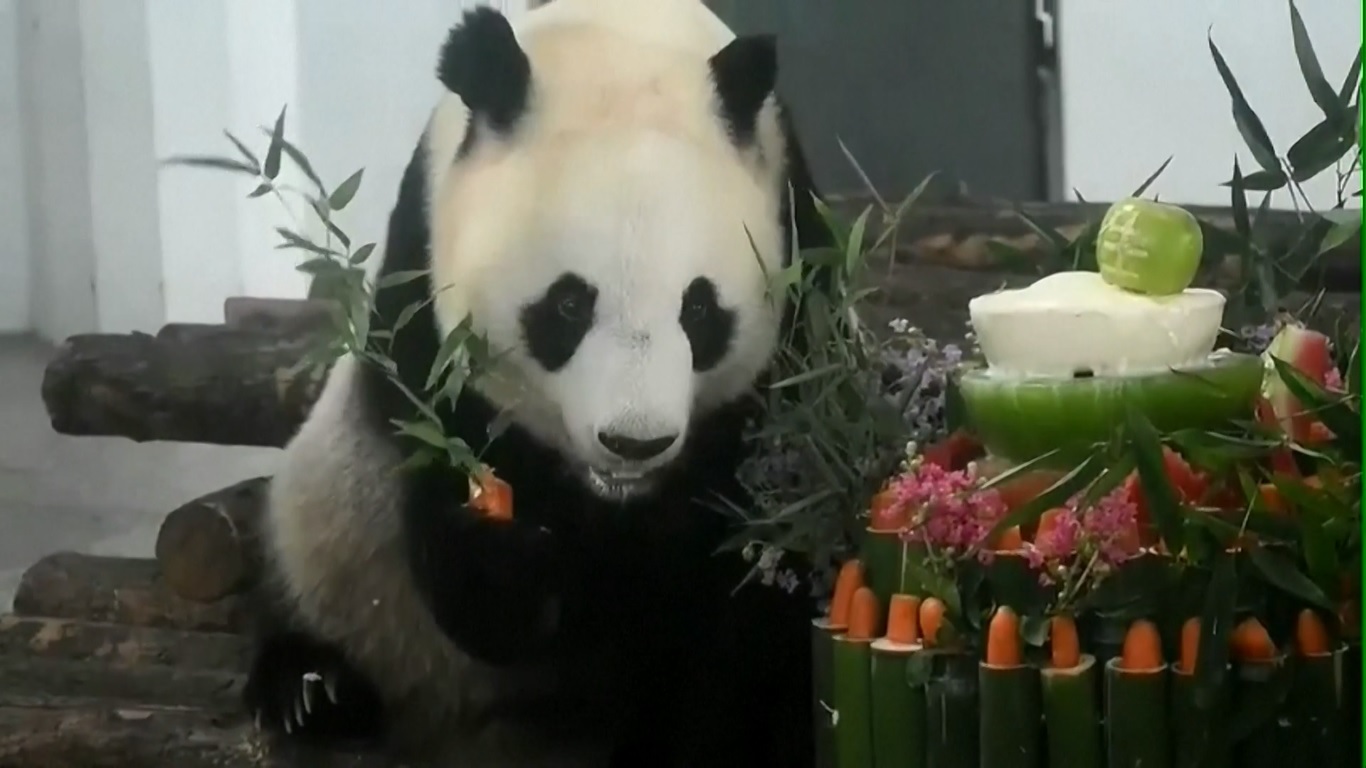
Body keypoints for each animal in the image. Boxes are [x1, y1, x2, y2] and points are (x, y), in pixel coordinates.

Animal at [243, 0, 835, 765]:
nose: (634, 442)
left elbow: (745, 570)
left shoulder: (800, 257)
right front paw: (511, 558)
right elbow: (446, 464)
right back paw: (311, 687)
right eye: (568, 305)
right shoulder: (420, 281)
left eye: (700, 309)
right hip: (330, 532)